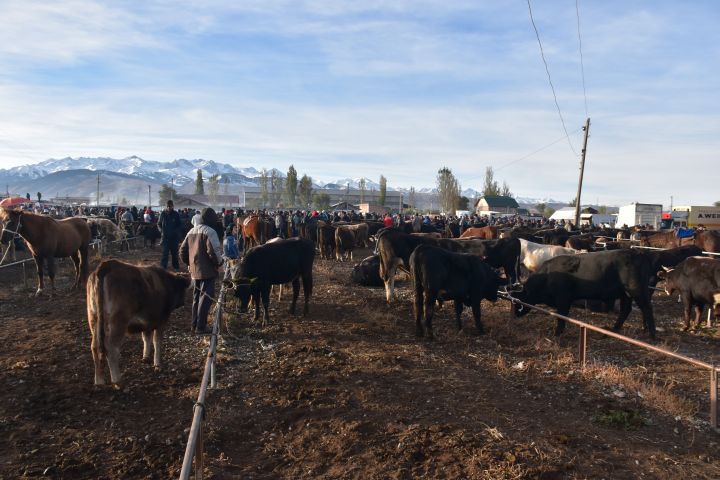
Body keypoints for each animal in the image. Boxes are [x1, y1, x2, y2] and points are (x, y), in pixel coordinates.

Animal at [86, 258, 191, 386]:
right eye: (182, 289)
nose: (182, 303)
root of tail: (107, 265)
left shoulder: (147, 323)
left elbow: (146, 338)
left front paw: (145, 357)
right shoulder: (161, 321)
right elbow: (157, 342)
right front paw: (157, 364)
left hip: (94, 319)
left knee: (95, 347)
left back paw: (99, 381)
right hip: (118, 322)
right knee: (111, 348)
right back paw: (117, 380)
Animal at [512, 249, 660, 340]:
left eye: (519, 299)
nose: (515, 314)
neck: (547, 276)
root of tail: (639, 253)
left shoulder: (563, 300)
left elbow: (561, 318)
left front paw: (557, 334)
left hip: (636, 290)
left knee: (647, 308)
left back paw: (652, 335)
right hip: (625, 294)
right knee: (625, 310)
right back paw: (613, 330)